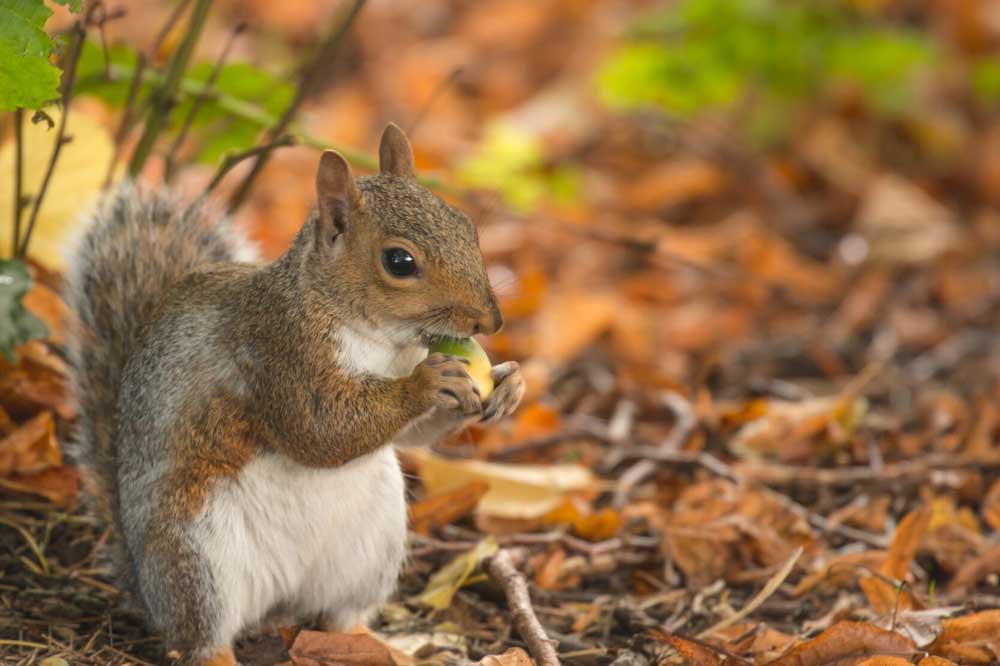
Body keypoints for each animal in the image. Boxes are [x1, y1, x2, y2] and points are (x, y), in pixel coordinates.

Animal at [63, 124, 528, 664]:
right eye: (399, 261)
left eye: (466, 226)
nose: (491, 322)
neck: (376, 337)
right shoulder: (276, 351)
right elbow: (319, 430)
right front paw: (427, 384)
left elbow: (412, 438)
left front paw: (509, 383)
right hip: (196, 556)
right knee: (201, 639)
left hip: (371, 548)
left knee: (342, 617)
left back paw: (387, 648)